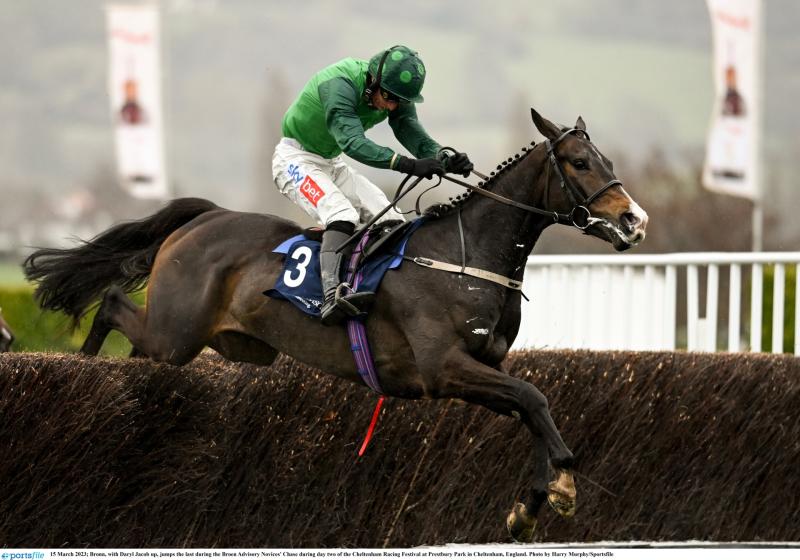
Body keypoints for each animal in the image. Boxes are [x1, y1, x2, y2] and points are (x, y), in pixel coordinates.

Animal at [23, 108, 648, 542]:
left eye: (611, 163)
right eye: (579, 163)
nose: (633, 221)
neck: (465, 256)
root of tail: (205, 217)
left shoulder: (482, 365)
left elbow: (530, 407)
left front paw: (532, 506)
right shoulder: (443, 369)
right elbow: (533, 398)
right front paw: (563, 484)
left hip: (211, 344)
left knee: (143, 354)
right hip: (176, 330)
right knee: (109, 301)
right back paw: (82, 364)